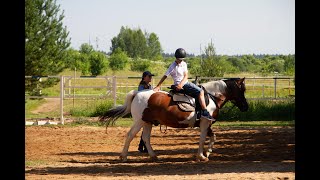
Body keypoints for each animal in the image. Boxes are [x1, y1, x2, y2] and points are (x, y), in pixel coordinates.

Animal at [99, 77, 249, 162]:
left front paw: (208, 152)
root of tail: (137, 93)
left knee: (146, 138)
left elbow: (213, 137)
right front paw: (201, 156)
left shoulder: (207, 124)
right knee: (130, 135)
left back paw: (153, 156)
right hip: (140, 121)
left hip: (147, 122)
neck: (211, 96)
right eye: (242, 90)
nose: (246, 107)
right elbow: (202, 139)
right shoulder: (205, 123)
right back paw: (124, 156)